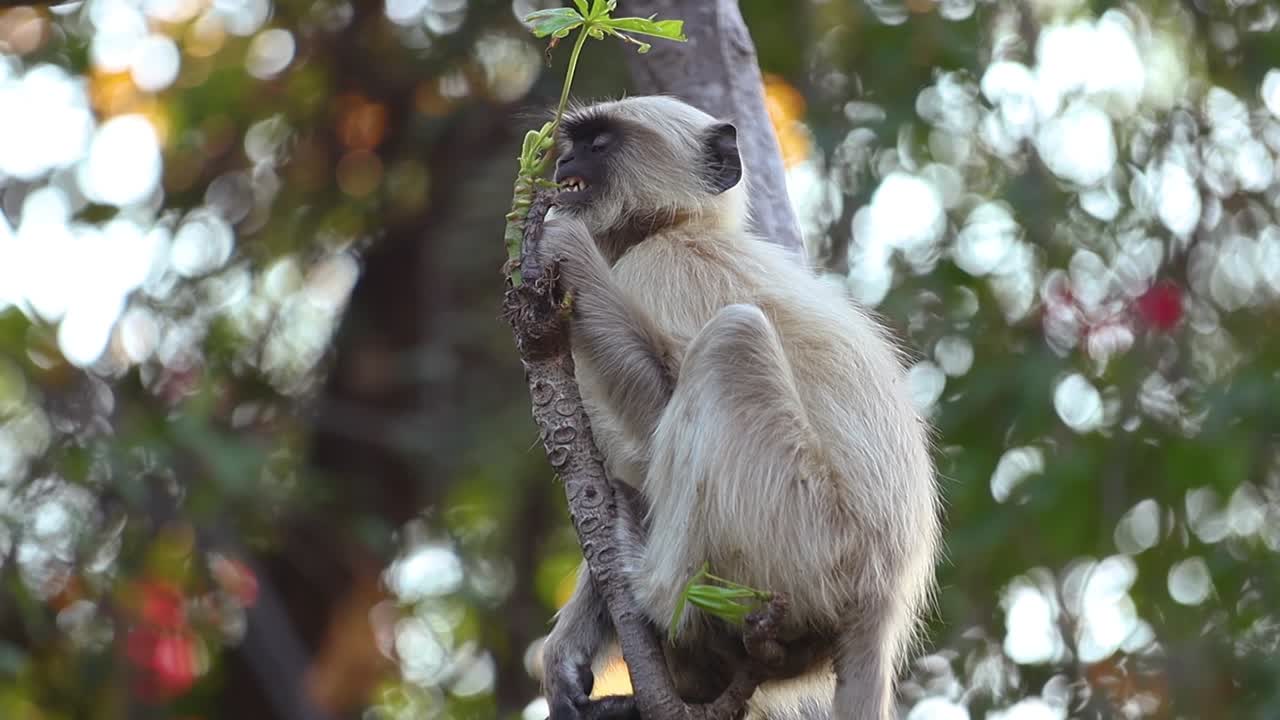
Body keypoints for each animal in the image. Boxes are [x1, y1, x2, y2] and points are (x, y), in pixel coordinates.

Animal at [531, 95, 942, 720]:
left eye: (599, 143)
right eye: (573, 143)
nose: (564, 160)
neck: (677, 226)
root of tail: (881, 605)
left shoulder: (666, 268)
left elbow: (658, 415)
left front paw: (565, 244)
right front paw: (565, 655)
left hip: (803, 536)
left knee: (733, 339)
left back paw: (654, 589)